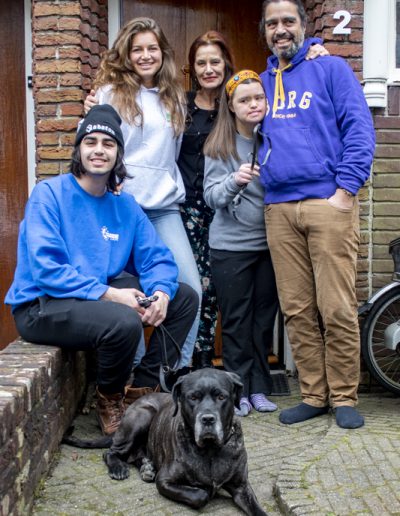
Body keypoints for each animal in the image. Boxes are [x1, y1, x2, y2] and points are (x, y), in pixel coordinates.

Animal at [104, 368, 266, 512]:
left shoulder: (242, 487)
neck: (210, 450)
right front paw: (205, 490)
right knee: (110, 452)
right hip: (142, 417)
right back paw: (119, 468)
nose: (208, 419)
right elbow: (201, 495)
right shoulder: (164, 480)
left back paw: (147, 467)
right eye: (193, 397)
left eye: (221, 397)